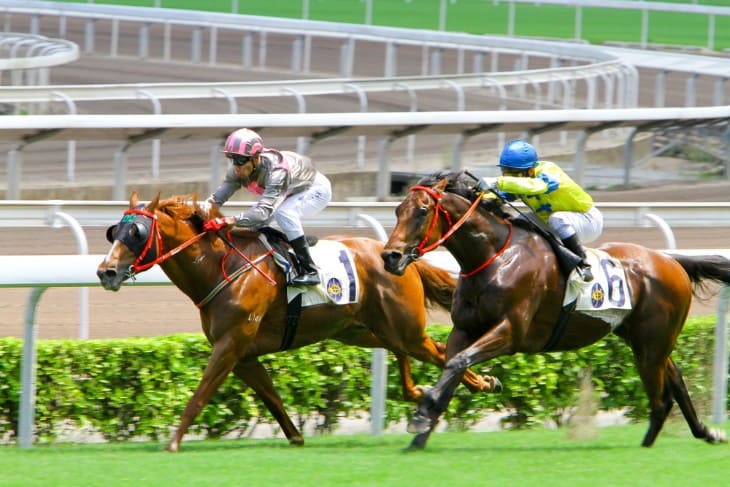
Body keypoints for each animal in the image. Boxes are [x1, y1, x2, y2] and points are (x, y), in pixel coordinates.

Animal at [95, 193, 500, 452]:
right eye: (115, 231)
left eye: (136, 233)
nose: (105, 271)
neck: (221, 267)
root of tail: (399, 257)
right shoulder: (244, 355)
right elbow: (272, 397)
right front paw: (296, 438)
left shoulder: (230, 346)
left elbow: (200, 394)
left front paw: (174, 442)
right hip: (362, 331)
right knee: (411, 350)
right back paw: (422, 391)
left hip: (402, 327)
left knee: (439, 351)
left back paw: (477, 384)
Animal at [378, 172, 728, 450]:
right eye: (397, 210)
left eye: (423, 211)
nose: (390, 257)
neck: (494, 256)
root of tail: (671, 260)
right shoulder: (464, 329)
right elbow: (453, 367)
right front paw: (421, 433)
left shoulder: (511, 332)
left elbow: (457, 363)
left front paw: (421, 416)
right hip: (643, 338)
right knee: (675, 379)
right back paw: (705, 432)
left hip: (651, 342)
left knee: (661, 393)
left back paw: (656, 441)